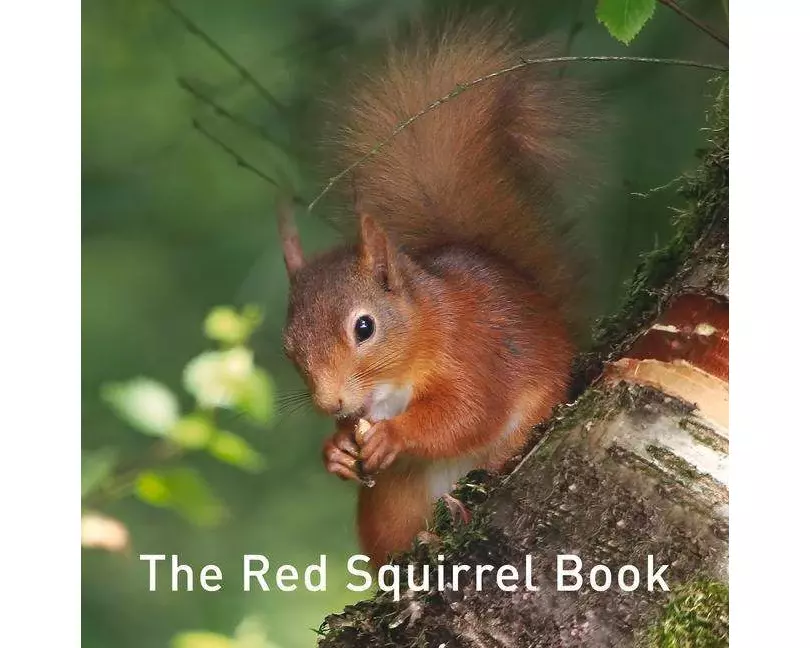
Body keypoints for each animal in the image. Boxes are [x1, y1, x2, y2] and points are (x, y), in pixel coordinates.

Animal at [279, 19, 589, 568]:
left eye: (364, 327)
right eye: (288, 347)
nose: (331, 404)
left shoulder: (475, 350)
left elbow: (469, 412)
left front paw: (393, 435)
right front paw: (336, 449)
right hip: (393, 502)